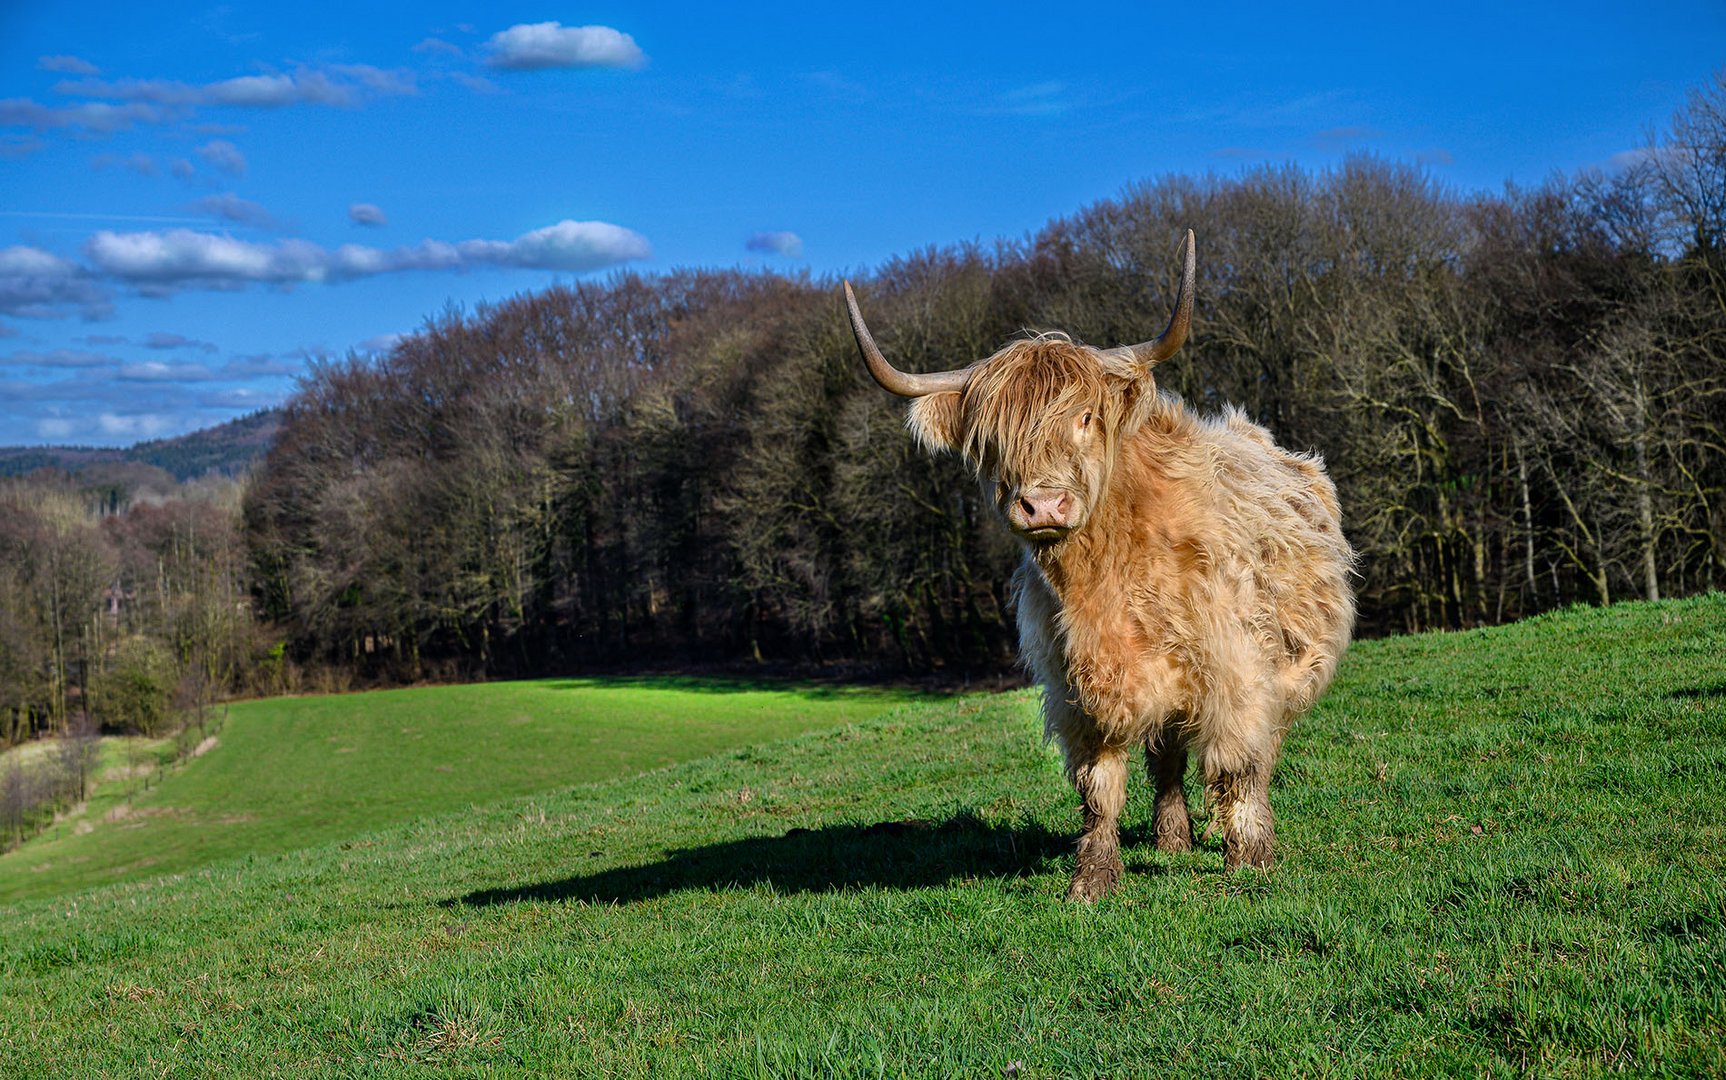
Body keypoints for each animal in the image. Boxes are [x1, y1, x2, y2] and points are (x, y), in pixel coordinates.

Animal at [842, 231, 1353, 897]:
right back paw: (1171, 837)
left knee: (1255, 753)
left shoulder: (1235, 668)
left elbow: (1238, 765)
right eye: (992, 440)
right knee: (1167, 755)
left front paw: (1250, 863)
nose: (1043, 504)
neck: (1106, 578)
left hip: (1286, 668)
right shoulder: (1077, 687)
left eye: (1085, 418)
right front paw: (1093, 879)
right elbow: (1099, 786)